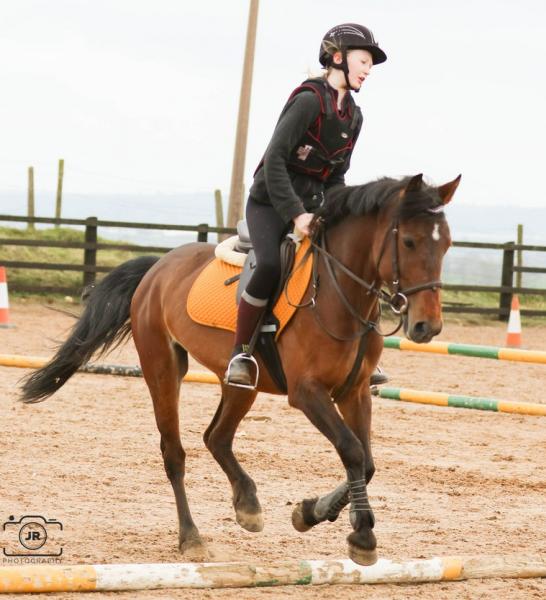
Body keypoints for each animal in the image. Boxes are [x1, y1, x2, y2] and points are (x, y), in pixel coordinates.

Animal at [20, 172, 460, 564]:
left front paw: (312, 512)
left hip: (241, 383)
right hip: (162, 369)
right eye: (409, 241)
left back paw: (247, 504)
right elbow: (351, 450)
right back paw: (191, 538)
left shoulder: (354, 391)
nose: (428, 327)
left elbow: (365, 462)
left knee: (216, 436)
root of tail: (159, 266)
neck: (337, 294)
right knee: (174, 452)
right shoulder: (307, 394)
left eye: (447, 246)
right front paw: (361, 536)